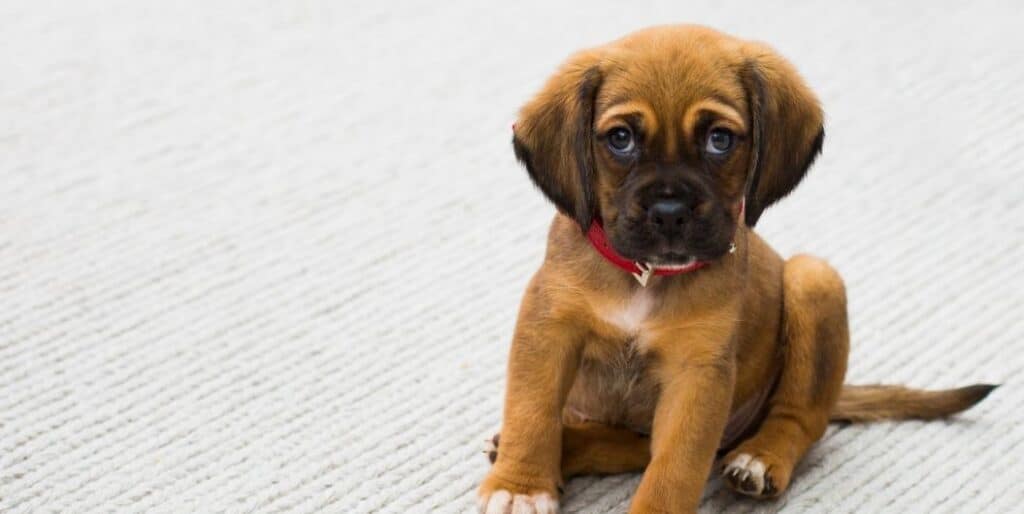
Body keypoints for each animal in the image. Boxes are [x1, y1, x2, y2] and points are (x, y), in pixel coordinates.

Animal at [481, 25, 999, 514]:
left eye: (719, 140)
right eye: (621, 139)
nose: (669, 212)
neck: (645, 278)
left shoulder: (697, 375)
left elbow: (676, 466)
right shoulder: (548, 331)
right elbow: (531, 412)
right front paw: (521, 485)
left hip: (814, 280)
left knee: (799, 418)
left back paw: (761, 458)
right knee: (627, 445)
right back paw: (558, 447)